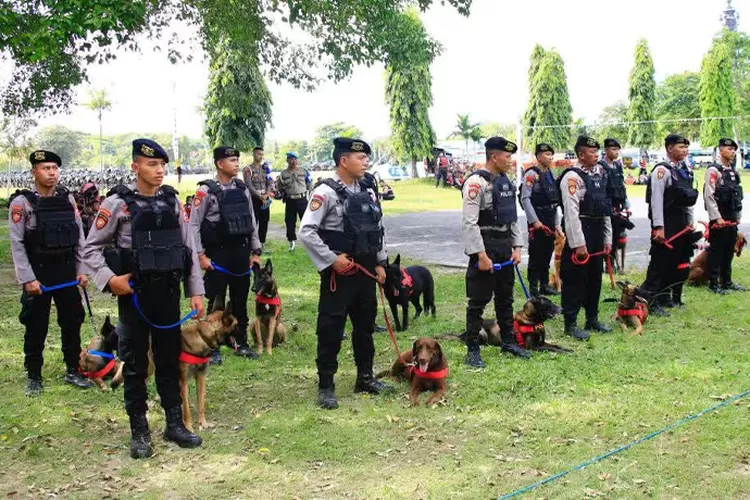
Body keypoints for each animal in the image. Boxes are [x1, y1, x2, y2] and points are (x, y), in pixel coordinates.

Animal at [179, 294, 238, 432]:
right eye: (236, 325)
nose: (245, 330)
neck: (203, 336)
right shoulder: (183, 382)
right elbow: (186, 409)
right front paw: (188, 427)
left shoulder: (201, 378)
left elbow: (201, 404)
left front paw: (203, 423)